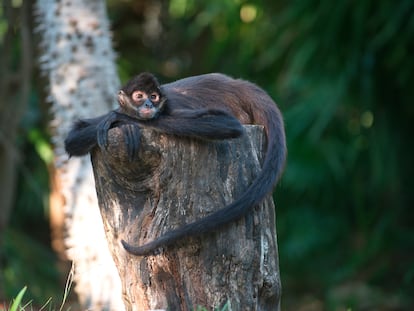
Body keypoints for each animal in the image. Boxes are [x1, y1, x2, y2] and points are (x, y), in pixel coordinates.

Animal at [64, 72, 286, 256]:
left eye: (153, 97)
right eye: (139, 96)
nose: (148, 105)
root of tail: (238, 85)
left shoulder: (172, 107)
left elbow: (227, 123)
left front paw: (123, 121)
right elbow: (72, 137)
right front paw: (124, 124)